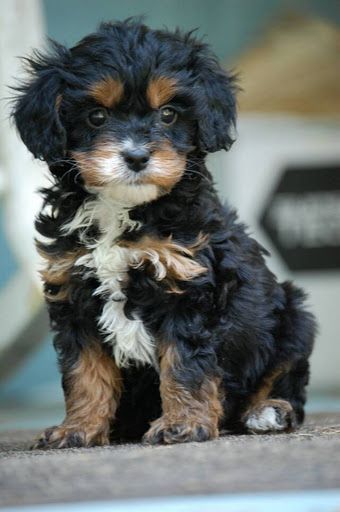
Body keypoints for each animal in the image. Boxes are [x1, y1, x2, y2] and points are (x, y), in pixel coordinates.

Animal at [13, 19, 316, 448]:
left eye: (169, 114)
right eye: (96, 117)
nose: (137, 156)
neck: (123, 209)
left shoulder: (186, 287)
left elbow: (184, 364)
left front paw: (183, 423)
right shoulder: (73, 291)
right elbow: (84, 371)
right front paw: (79, 428)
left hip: (294, 318)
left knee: (285, 378)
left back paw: (268, 411)